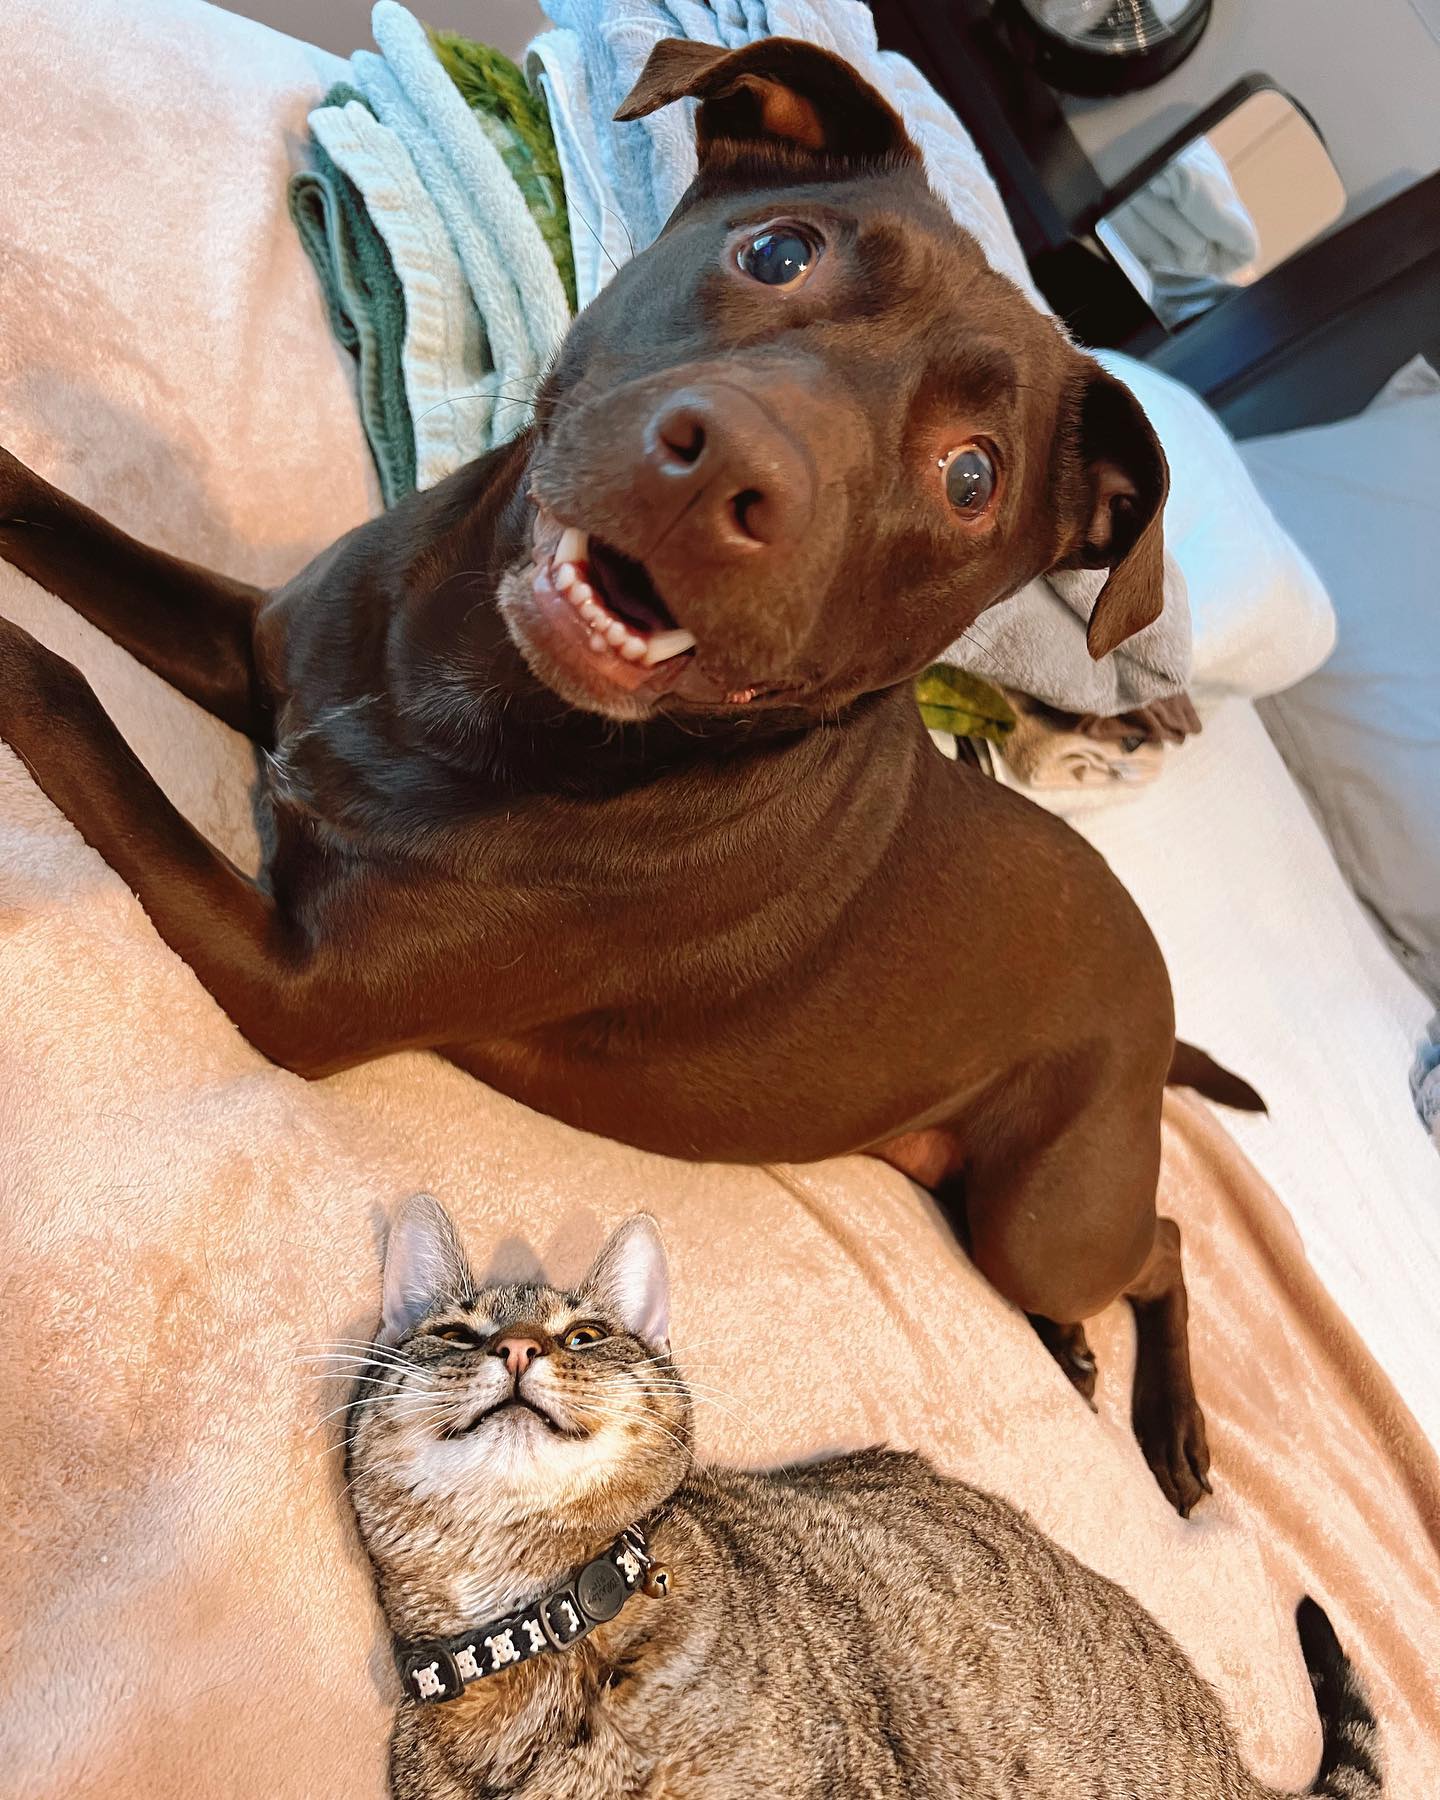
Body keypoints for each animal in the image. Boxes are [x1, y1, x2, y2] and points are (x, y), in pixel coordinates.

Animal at [0, 38, 1260, 1504]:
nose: (729, 476)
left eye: (970, 478)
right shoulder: (265, 649)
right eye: (776, 251)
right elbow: (52, 516)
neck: (472, 686)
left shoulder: (295, 990)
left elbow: (65, 692)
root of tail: (1161, 986)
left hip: (1040, 1213)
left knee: (1161, 1243)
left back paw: (1170, 1423)